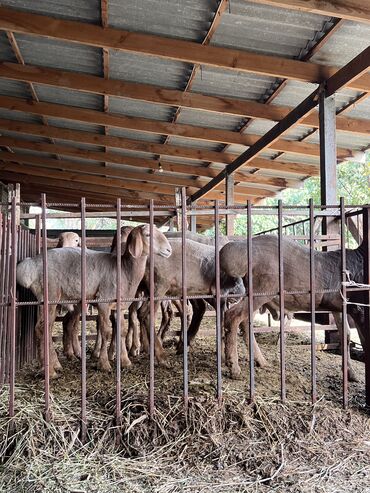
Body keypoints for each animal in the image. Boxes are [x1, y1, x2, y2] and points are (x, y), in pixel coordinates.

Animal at [16, 224, 173, 376]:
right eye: (147, 234)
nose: (169, 250)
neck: (124, 269)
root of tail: (30, 265)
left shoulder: (118, 306)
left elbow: (121, 330)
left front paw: (125, 362)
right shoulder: (103, 301)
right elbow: (106, 331)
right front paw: (104, 364)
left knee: (48, 328)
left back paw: (55, 364)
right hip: (50, 295)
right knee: (42, 328)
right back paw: (50, 371)